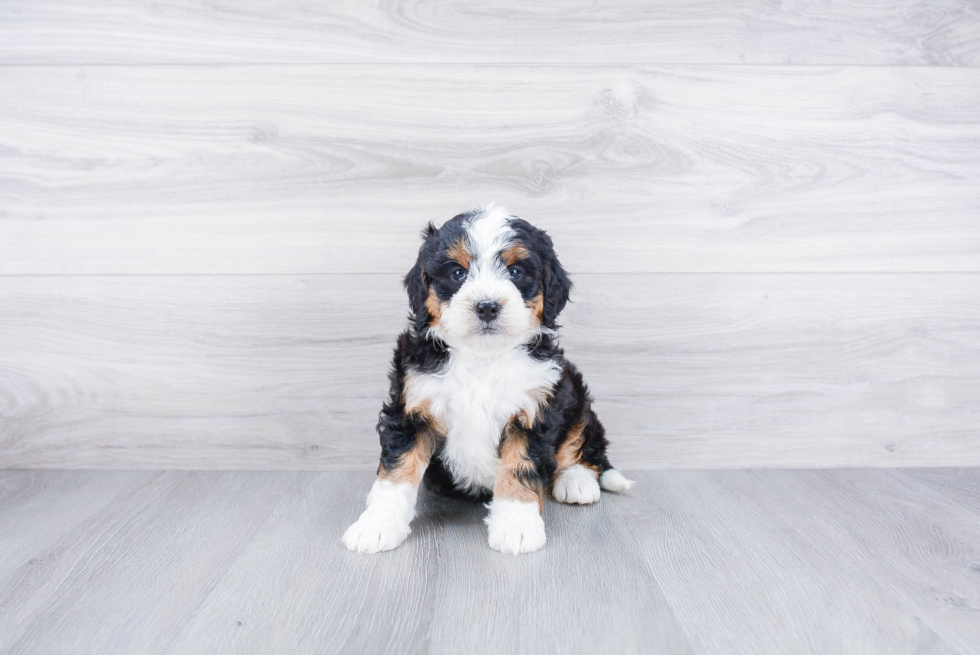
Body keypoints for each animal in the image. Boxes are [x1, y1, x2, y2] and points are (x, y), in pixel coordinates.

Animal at [344, 204, 636, 552]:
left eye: (516, 272)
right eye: (457, 273)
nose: (487, 306)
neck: (482, 357)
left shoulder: (535, 409)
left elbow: (520, 467)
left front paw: (516, 525)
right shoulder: (411, 406)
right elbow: (397, 471)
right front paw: (376, 525)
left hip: (573, 390)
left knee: (582, 441)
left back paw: (576, 481)